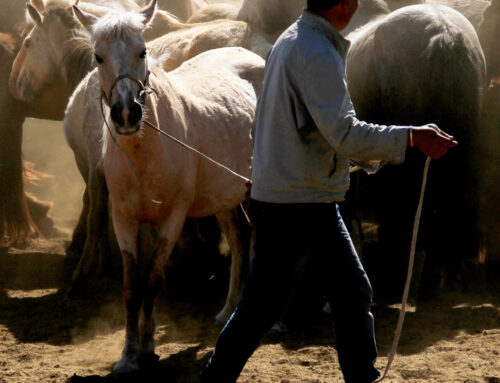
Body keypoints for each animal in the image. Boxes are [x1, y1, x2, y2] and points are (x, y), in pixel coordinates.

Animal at [72, 0, 264, 372]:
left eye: (143, 50)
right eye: (99, 56)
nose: (127, 114)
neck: (145, 153)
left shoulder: (173, 218)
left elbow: (154, 280)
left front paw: (148, 346)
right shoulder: (124, 218)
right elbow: (132, 288)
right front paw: (129, 355)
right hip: (227, 196)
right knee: (239, 239)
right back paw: (228, 310)